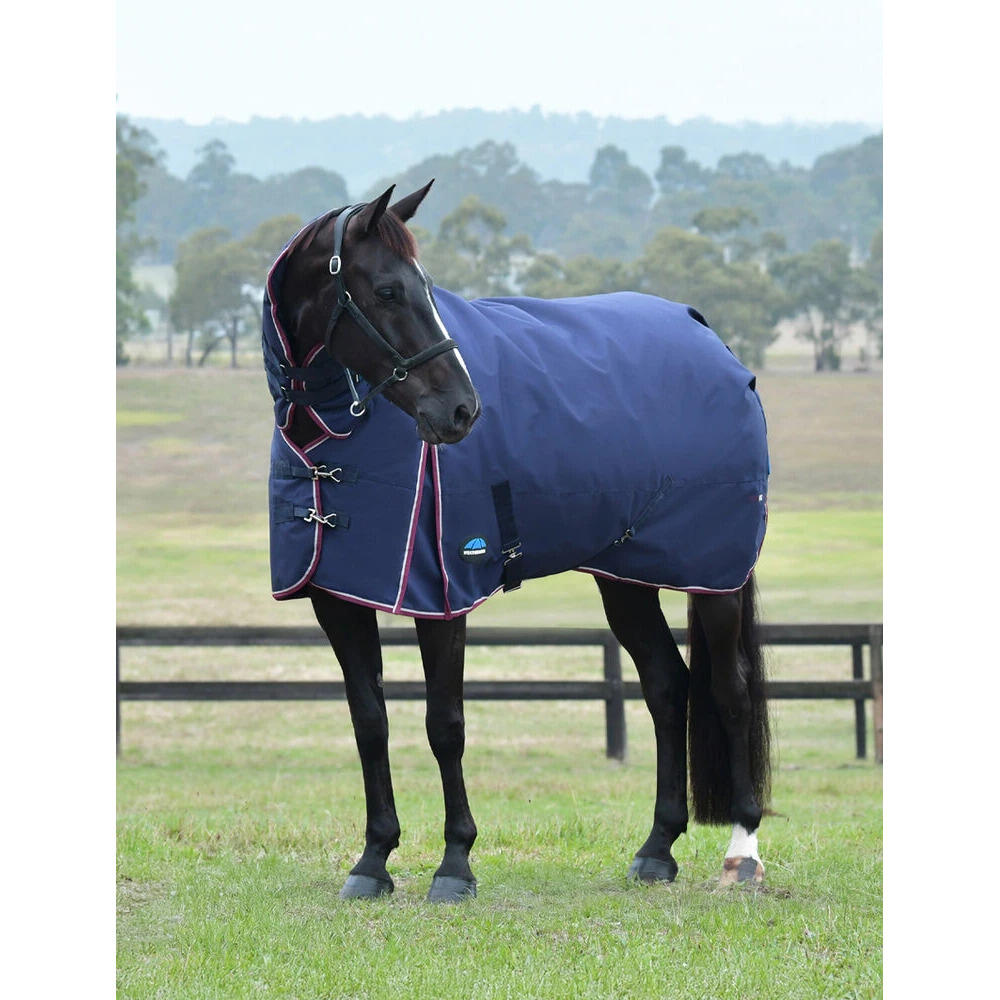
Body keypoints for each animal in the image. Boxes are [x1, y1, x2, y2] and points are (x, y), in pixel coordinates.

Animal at [261, 182, 772, 902]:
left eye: (424, 287)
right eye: (387, 290)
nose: (461, 411)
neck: (334, 439)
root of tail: (712, 340)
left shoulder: (442, 596)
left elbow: (444, 725)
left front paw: (454, 864)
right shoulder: (338, 598)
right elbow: (370, 722)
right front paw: (373, 860)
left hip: (715, 575)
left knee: (729, 690)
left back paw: (743, 851)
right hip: (627, 577)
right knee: (667, 687)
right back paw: (656, 850)